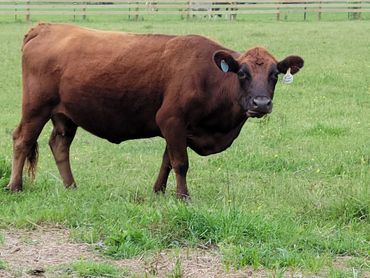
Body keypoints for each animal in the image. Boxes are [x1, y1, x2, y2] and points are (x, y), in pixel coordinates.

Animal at [6, 23, 304, 198]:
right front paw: (183, 196)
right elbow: (180, 162)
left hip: (65, 115)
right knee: (22, 140)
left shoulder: (177, 128)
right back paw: (14, 186)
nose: (261, 103)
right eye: (242, 73)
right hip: (35, 107)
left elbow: (167, 161)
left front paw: (159, 190)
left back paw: (71, 186)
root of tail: (47, 26)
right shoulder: (172, 120)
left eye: (275, 74)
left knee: (59, 144)